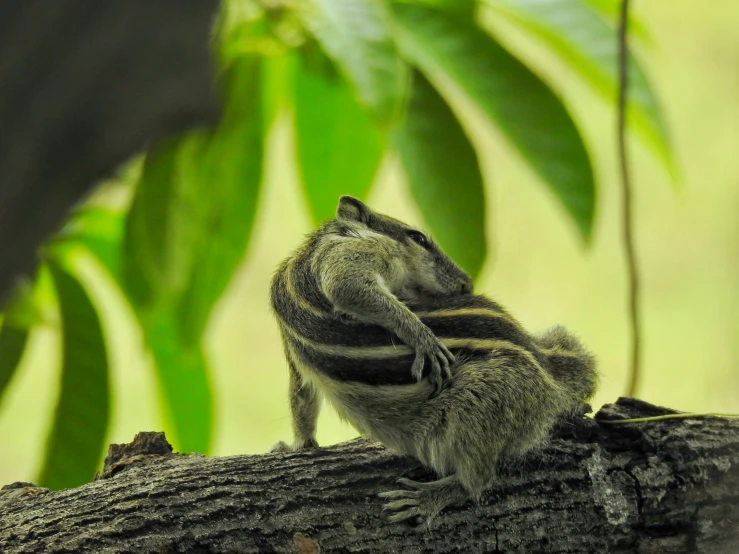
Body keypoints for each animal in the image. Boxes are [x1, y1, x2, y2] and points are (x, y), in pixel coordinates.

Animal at [268, 196, 600, 524]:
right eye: (418, 238)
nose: (467, 285)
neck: (309, 250)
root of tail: (551, 374)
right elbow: (301, 398)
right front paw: (296, 446)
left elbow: (346, 287)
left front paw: (423, 337)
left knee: (477, 480)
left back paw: (427, 498)